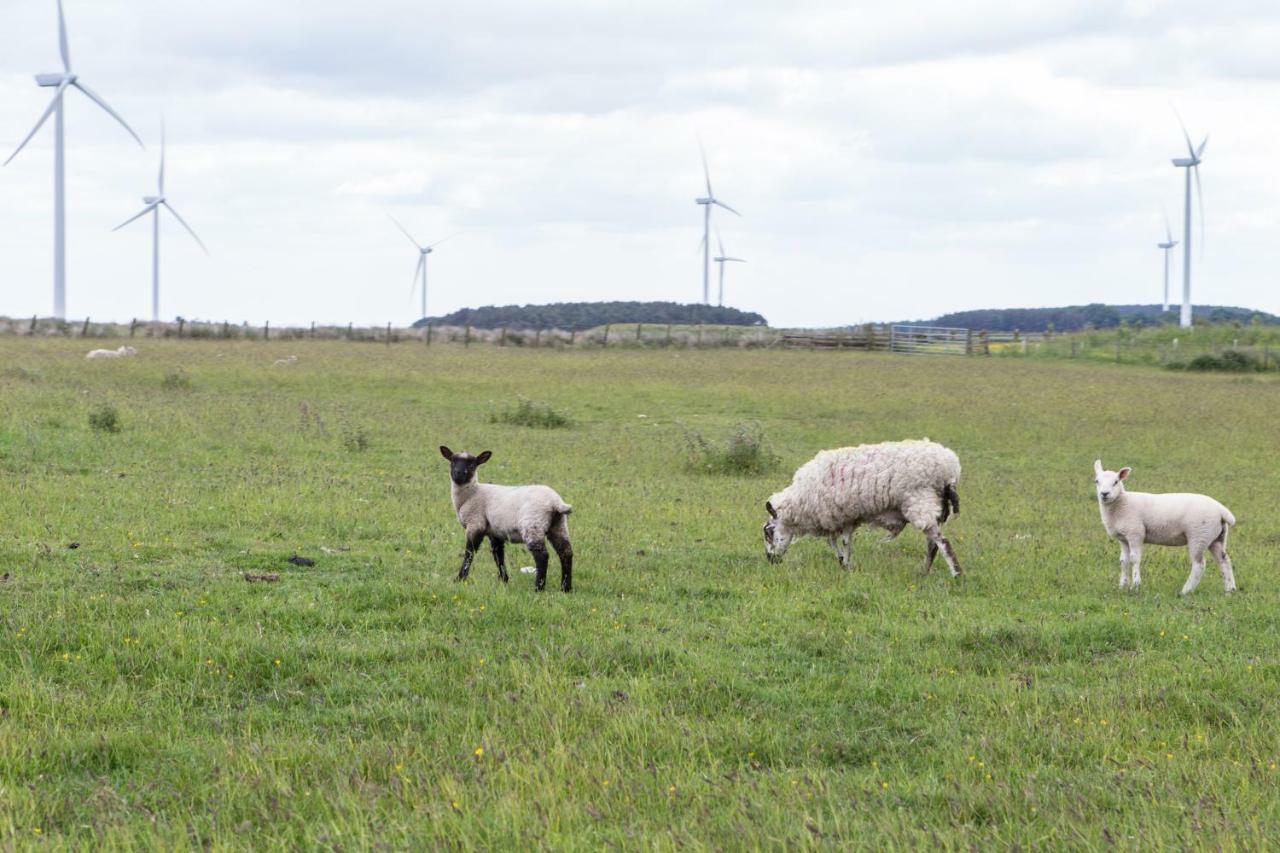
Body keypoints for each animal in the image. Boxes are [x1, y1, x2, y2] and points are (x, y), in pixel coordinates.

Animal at [442, 445, 578, 591]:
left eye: (472, 465)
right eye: (453, 462)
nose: (458, 473)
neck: (471, 494)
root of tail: (555, 502)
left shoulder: (475, 524)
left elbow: (469, 553)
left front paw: (459, 579)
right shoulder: (494, 532)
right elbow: (498, 555)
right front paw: (504, 580)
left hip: (533, 525)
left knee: (542, 556)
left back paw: (538, 588)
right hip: (558, 526)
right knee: (566, 552)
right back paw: (566, 588)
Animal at [757, 438, 962, 571]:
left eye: (769, 532)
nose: (770, 560)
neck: (801, 501)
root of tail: (950, 467)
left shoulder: (836, 515)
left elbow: (840, 542)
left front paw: (845, 564)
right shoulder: (843, 518)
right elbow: (839, 541)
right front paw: (844, 563)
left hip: (920, 499)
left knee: (941, 542)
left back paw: (955, 573)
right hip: (937, 506)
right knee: (933, 544)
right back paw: (924, 572)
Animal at [1095, 458, 1233, 591]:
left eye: (1116, 481)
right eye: (1096, 481)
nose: (1104, 494)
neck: (1122, 503)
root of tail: (1221, 510)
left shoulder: (1135, 533)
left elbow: (1135, 559)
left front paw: (1135, 585)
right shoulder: (1123, 538)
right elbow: (1123, 561)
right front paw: (1122, 586)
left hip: (1199, 535)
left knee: (1199, 565)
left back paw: (1185, 591)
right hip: (1216, 537)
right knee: (1224, 560)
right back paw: (1229, 590)